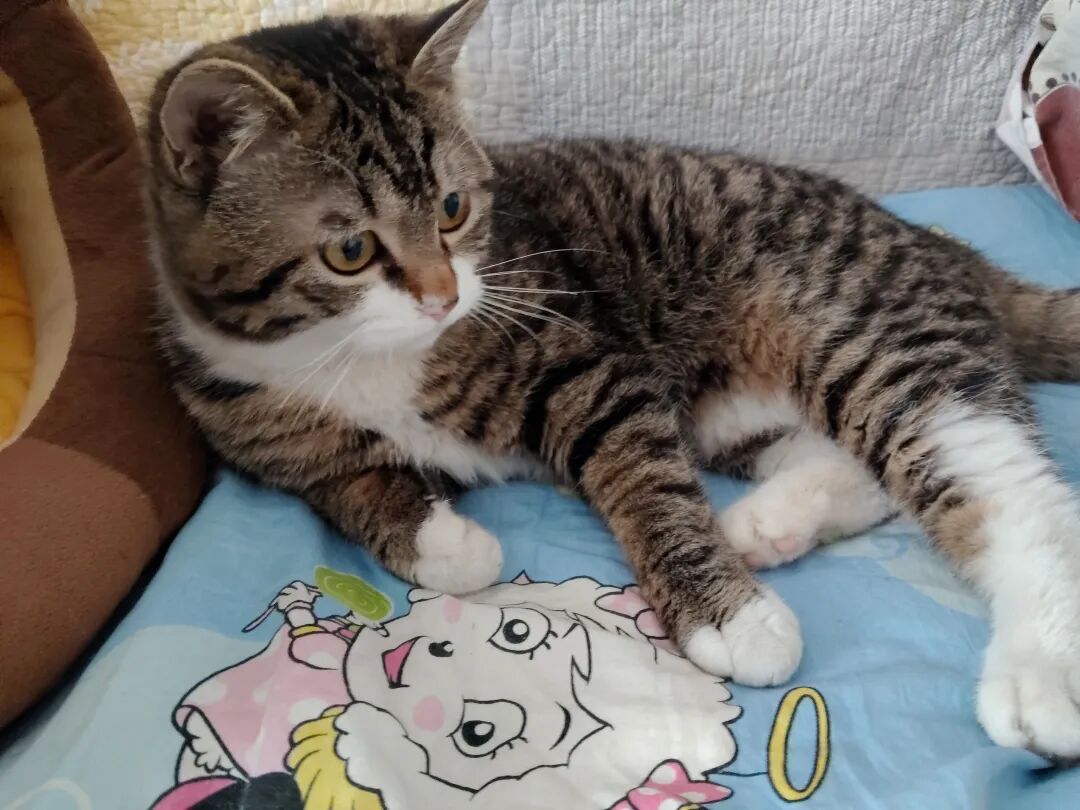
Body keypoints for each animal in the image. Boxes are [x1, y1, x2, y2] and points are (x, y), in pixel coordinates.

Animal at [145, 0, 1080, 759]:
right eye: (350, 249)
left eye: (452, 208)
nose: (446, 297)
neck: (351, 357)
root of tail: (928, 239)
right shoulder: (251, 429)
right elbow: (344, 483)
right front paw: (443, 542)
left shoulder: (587, 365)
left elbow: (644, 479)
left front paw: (726, 616)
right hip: (736, 409)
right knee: (865, 470)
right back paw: (770, 524)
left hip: (864, 331)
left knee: (999, 480)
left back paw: (1041, 671)